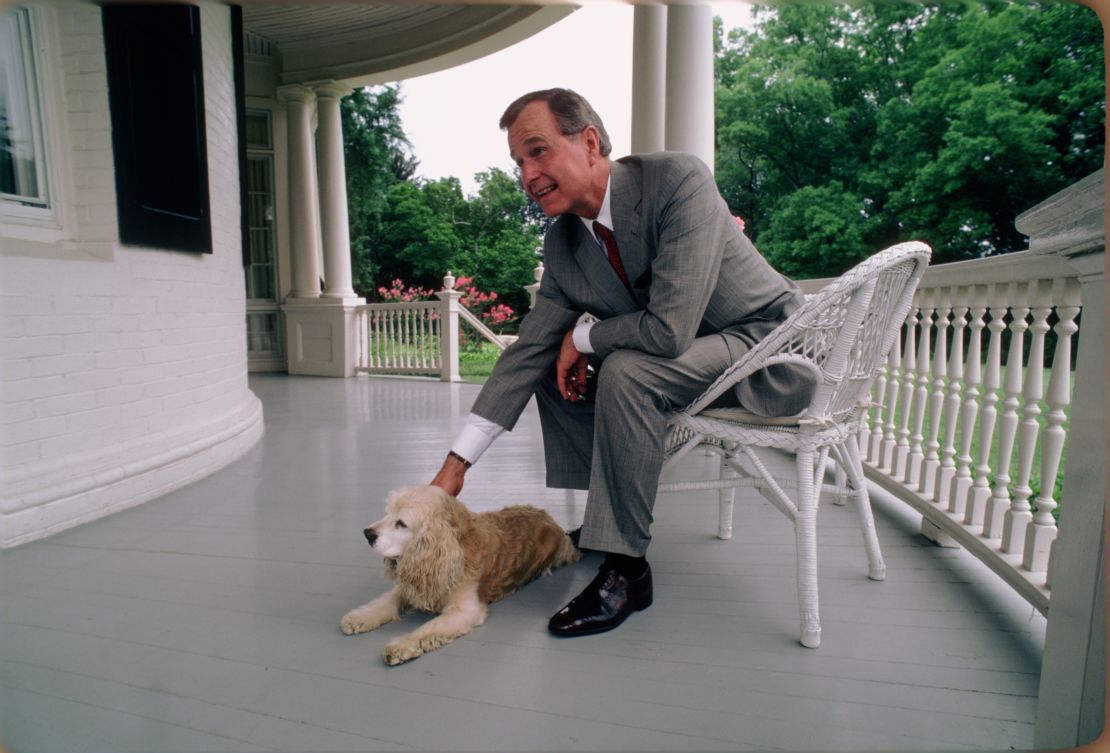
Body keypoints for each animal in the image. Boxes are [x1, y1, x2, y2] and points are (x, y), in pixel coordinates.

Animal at [339, 484, 581, 666]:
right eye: (387, 514)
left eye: (401, 523)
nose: (367, 534)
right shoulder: (411, 587)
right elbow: (384, 602)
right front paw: (360, 617)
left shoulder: (465, 609)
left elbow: (427, 629)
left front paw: (401, 645)